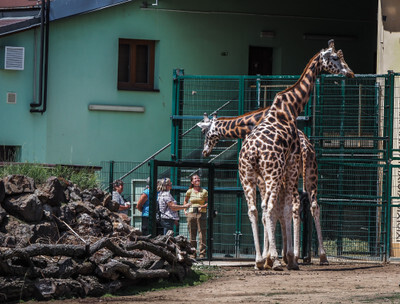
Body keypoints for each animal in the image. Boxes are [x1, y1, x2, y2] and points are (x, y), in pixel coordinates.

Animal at [197, 108, 328, 264]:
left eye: (204, 132)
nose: (204, 152)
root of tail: (304, 145)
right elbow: (277, 210)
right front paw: (278, 254)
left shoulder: (262, 178)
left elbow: (267, 212)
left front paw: (268, 255)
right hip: (310, 171)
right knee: (312, 205)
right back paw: (320, 256)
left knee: (293, 204)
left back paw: (294, 254)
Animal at [238, 39, 354, 270]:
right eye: (335, 57)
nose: (351, 73)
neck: (290, 108)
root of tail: (253, 151)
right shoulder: (292, 163)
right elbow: (289, 207)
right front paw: (290, 257)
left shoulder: (280, 171)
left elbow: (283, 208)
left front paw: (284, 255)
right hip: (275, 173)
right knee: (271, 207)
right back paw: (275, 260)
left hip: (247, 176)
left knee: (254, 210)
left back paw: (259, 260)